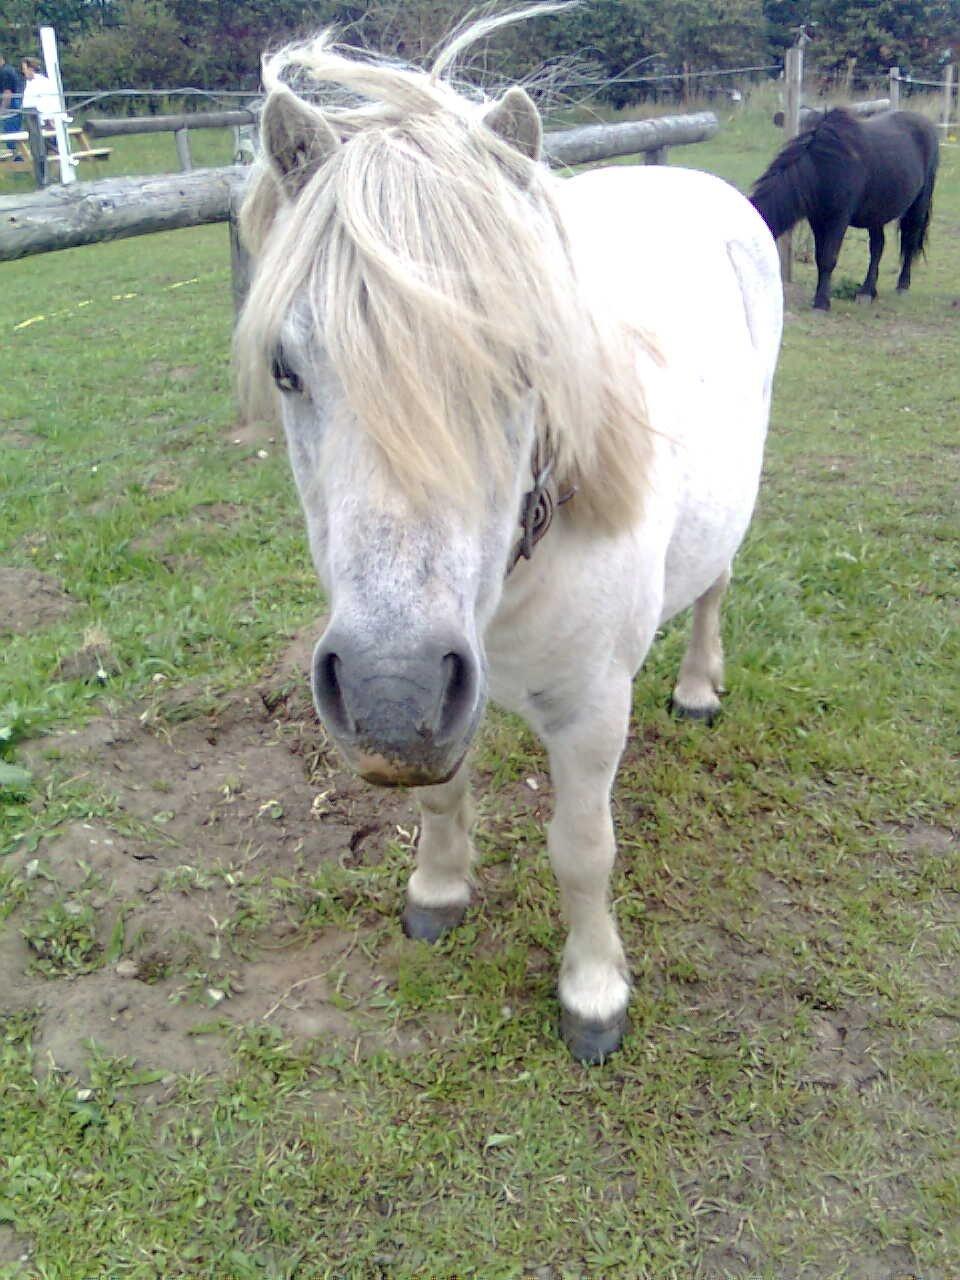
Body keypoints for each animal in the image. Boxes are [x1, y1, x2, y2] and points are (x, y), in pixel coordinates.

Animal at [236, 15, 783, 1064]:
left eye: (527, 361)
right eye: (286, 367)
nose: (389, 692)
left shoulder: (592, 714)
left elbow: (582, 850)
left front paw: (594, 992)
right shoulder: (452, 688)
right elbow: (439, 795)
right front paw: (439, 889)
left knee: (716, 585)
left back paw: (699, 687)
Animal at [752, 110, 942, 309]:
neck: (824, 166)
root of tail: (927, 124)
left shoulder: (839, 219)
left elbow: (828, 258)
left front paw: (822, 302)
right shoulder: (818, 220)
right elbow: (820, 257)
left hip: (918, 206)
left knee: (910, 242)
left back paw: (902, 285)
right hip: (876, 214)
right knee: (877, 247)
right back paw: (867, 291)